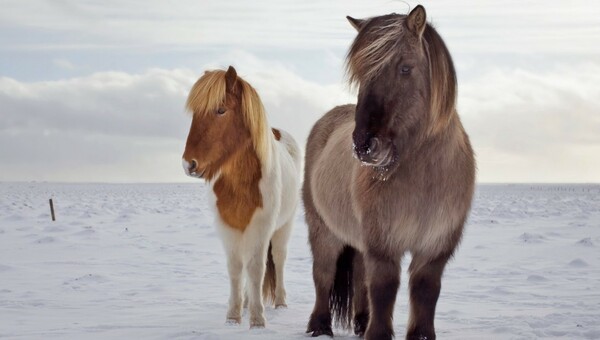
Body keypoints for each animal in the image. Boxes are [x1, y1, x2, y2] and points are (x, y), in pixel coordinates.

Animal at [182, 65, 302, 326]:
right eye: (195, 113)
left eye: (220, 110)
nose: (189, 164)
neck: (240, 182)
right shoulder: (228, 226)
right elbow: (236, 268)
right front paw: (234, 316)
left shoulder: (261, 225)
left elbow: (256, 268)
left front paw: (257, 320)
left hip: (284, 225)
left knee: (278, 258)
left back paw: (280, 302)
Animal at [304, 5, 474, 340]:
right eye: (361, 74)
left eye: (405, 68)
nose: (364, 145)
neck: (424, 178)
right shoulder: (383, 243)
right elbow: (383, 289)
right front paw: (378, 333)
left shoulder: (435, 247)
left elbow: (425, 291)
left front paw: (420, 335)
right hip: (324, 231)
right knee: (323, 275)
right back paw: (319, 326)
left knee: (358, 277)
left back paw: (360, 322)